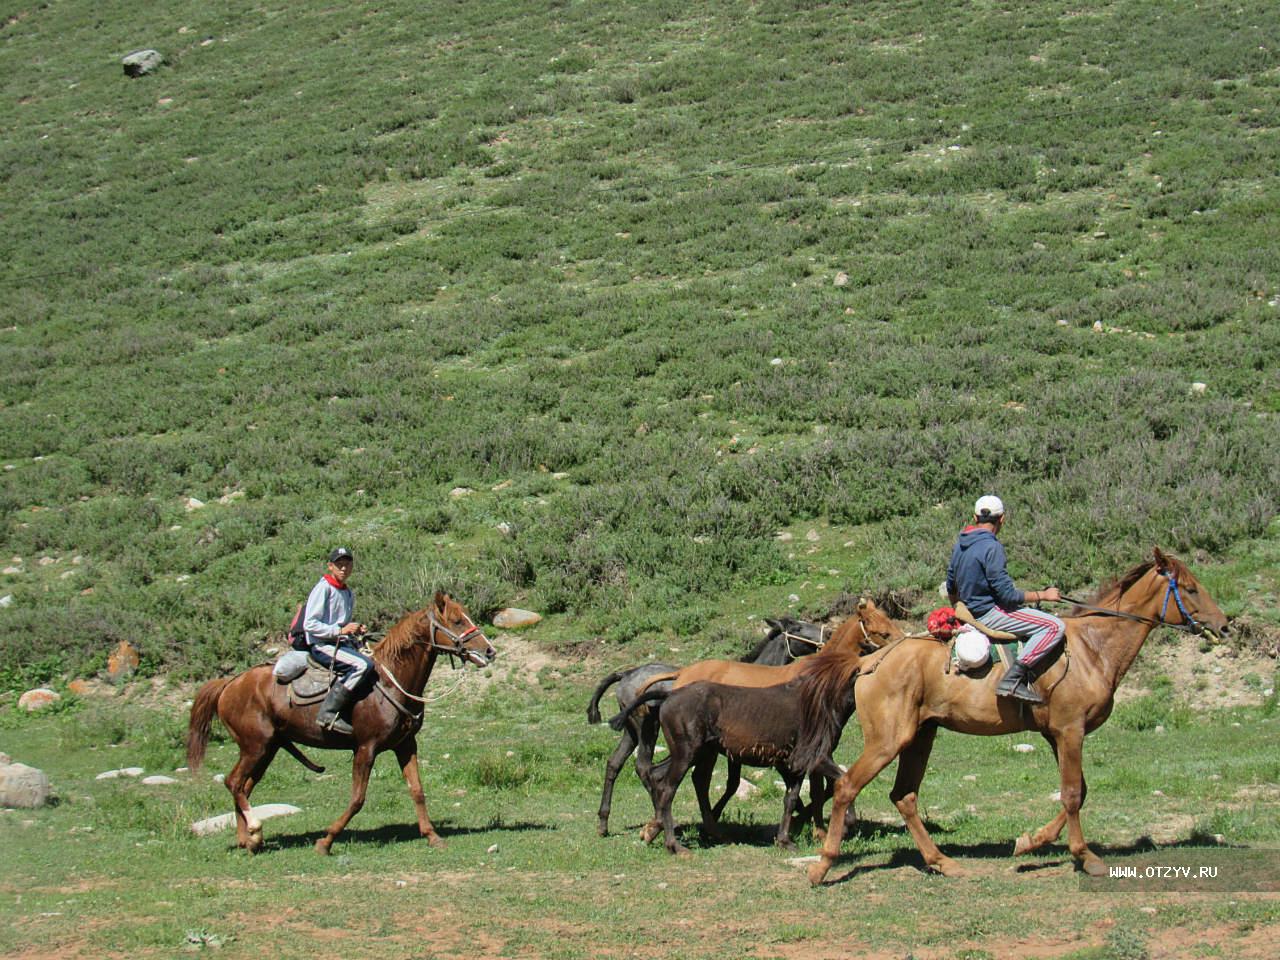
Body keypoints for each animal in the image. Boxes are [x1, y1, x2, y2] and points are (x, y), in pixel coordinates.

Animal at [185, 593, 494, 855]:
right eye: (456, 620)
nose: (489, 651)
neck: (391, 681)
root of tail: (229, 683)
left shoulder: (406, 744)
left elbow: (417, 790)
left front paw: (432, 836)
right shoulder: (365, 748)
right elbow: (357, 799)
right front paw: (326, 841)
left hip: (267, 749)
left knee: (244, 787)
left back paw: (248, 840)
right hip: (255, 747)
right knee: (234, 782)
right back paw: (255, 830)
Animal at [798, 547, 1228, 885]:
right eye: (1191, 589)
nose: (1224, 626)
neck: (1092, 648)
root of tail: (870, 661)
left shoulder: (1057, 734)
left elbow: (1077, 791)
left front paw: (1029, 842)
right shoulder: (1070, 731)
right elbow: (1073, 795)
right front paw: (1085, 857)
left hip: (920, 737)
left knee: (903, 796)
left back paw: (942, 862)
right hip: (888, 740)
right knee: (847, 787)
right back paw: (823, 866)